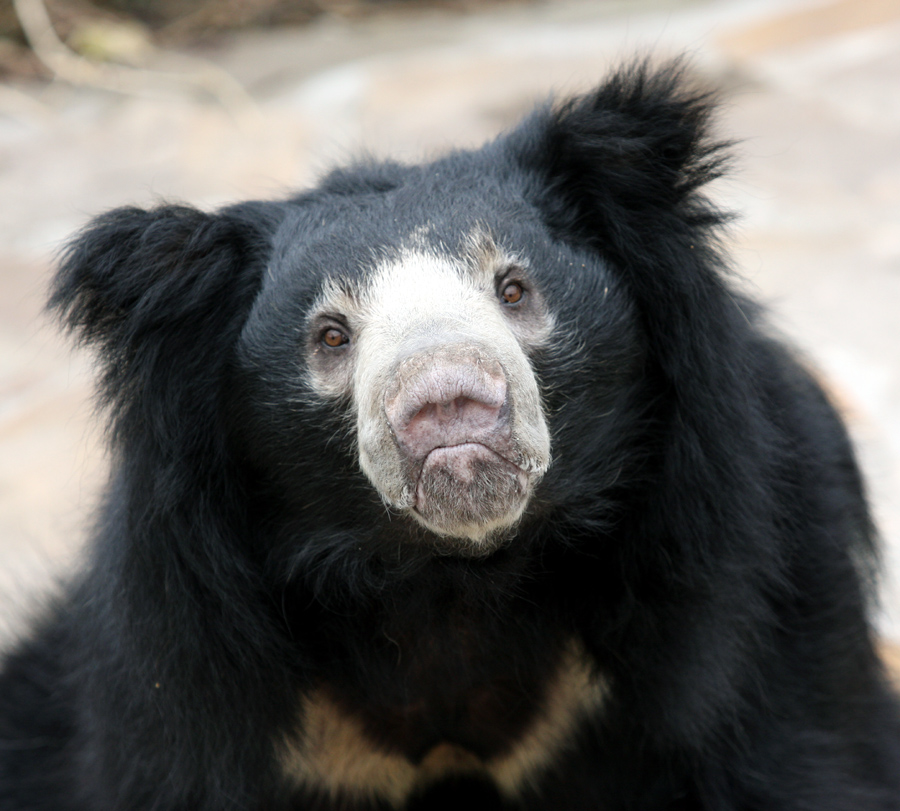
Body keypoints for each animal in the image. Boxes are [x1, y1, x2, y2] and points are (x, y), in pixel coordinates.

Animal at [1, 61, 900, 811]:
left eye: (514, 288)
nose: (448, 404)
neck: (449, 582)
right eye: (331, 336)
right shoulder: (186, 654)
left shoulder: (750, 581)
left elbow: (798, 749)